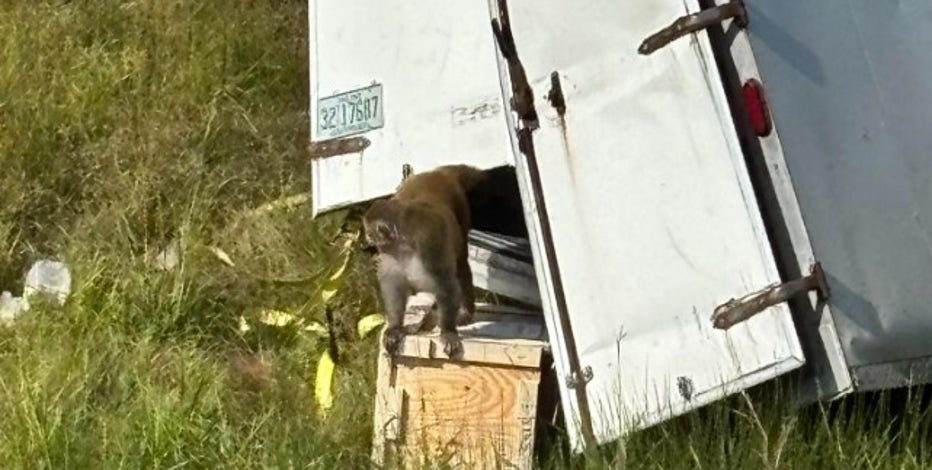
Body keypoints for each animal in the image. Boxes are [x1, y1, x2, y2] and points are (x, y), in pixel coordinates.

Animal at [362, 164, 486, 359]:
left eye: (369, 232)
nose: (367, 239)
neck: (403, 241)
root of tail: (437, 173)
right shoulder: (391, 253)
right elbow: (394, 285)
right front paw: (395, 327)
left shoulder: (428, 241)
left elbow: (445, 283)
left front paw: (447, 331)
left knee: (460, 264)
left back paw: (465, 312)